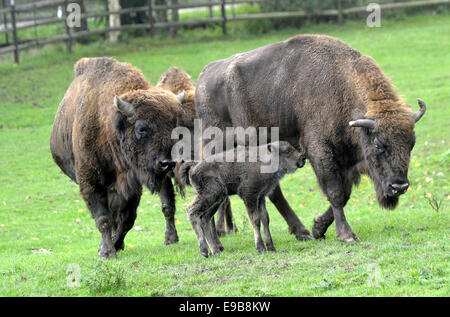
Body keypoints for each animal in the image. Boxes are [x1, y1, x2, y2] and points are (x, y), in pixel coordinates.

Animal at [52, 57, 185, 256]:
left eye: (175, 126)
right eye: (141, 128)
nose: (167, 163)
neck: (110, 128)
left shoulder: (132, 186)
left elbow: (128, 218)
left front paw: (116, 244)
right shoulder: (90, 183)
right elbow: (103, 219)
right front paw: (106, 252)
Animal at [196, 34, 426, 242]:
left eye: (411, 144)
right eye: (379, 145)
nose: (399, 187)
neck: (341, 86)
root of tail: (203, 78)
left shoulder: (348, 162)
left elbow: (345, 193)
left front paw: (318, 228)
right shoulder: (320, 152)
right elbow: (336, 193)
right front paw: (347, 235)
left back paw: (300, 232)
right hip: (220, 147)